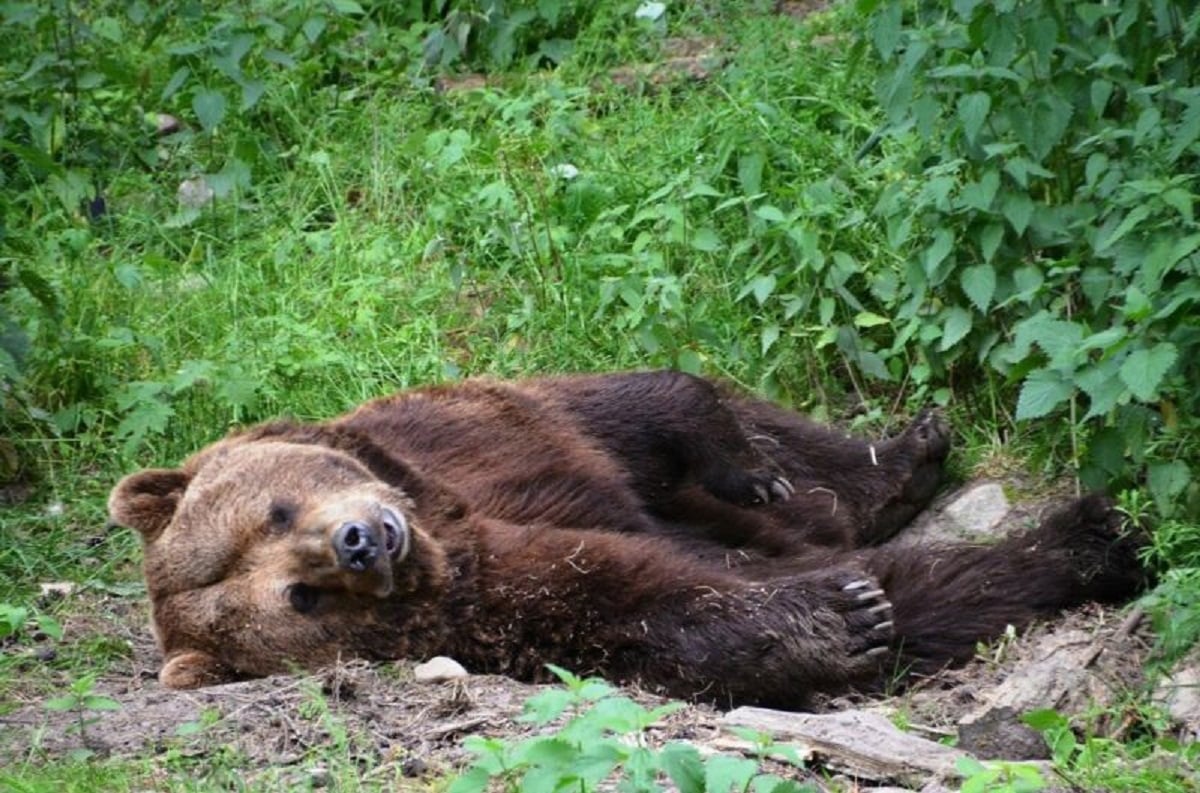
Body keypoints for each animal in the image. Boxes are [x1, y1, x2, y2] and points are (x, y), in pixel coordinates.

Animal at [110, 369, 1142, 705]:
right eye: (301, 596)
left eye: (276, 511)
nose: (365, 540)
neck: (438, 518)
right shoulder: (498, 595)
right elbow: (642, 598)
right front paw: (843, 614)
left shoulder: (473, 437)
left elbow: (644, 407)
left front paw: (750, 464)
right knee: (928, 580)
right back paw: (1085, 538)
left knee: (806, 465)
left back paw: (911, 451)